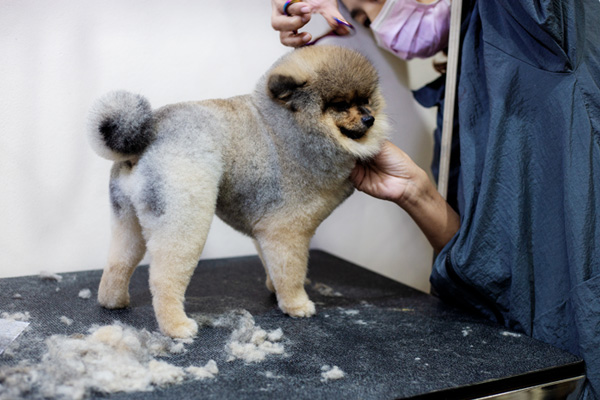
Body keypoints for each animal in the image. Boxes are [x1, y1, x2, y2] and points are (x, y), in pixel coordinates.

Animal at [89, 44, 390, 338]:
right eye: (341, 105)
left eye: (366, 100)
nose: (369, 118)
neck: (285, 129)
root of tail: (144, 140)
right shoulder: (287, 232)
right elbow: (292, 272)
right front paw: (296, 305)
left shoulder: (265, 229)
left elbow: (271, 264)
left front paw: (275, 289)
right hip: (184, 219)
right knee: (164, 277)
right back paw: (177, 326)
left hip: (127, 219)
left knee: (119, 261)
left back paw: (113, 301)